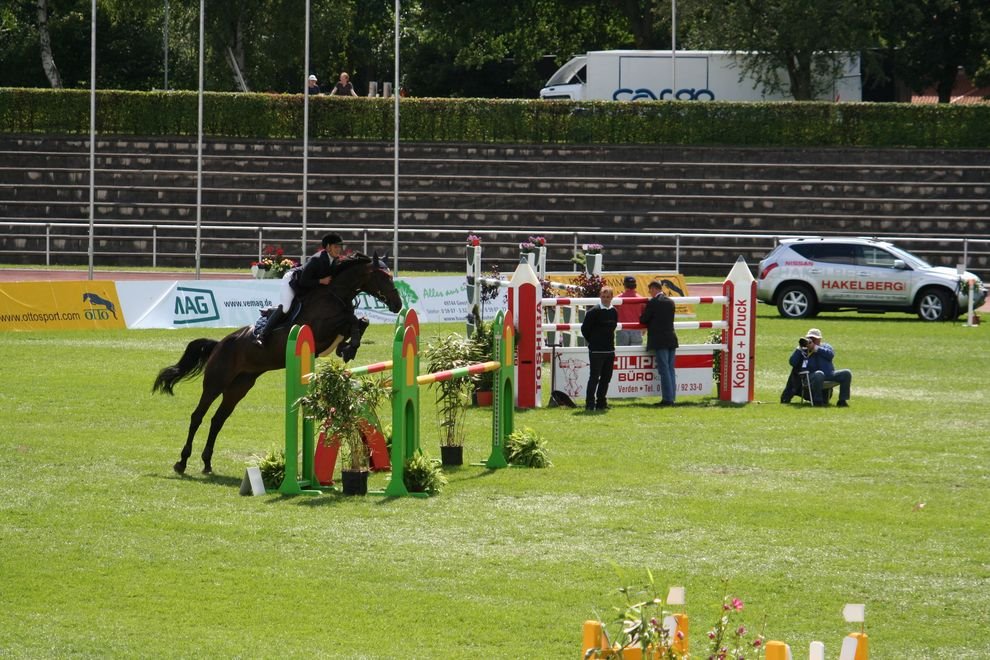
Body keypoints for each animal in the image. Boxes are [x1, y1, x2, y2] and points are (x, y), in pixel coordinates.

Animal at [153, 253, 402, 474]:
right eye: (383, 276)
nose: (398, 305)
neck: (335, 294)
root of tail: (219, 345)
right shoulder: (320, 328)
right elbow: (351, 319)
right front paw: (348, 347)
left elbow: (361, 321)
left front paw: (348, 348)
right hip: (216, 382)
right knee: (198, 416)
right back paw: (181, 463)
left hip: (239, 386)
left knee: (217, 420)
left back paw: (206, 463)